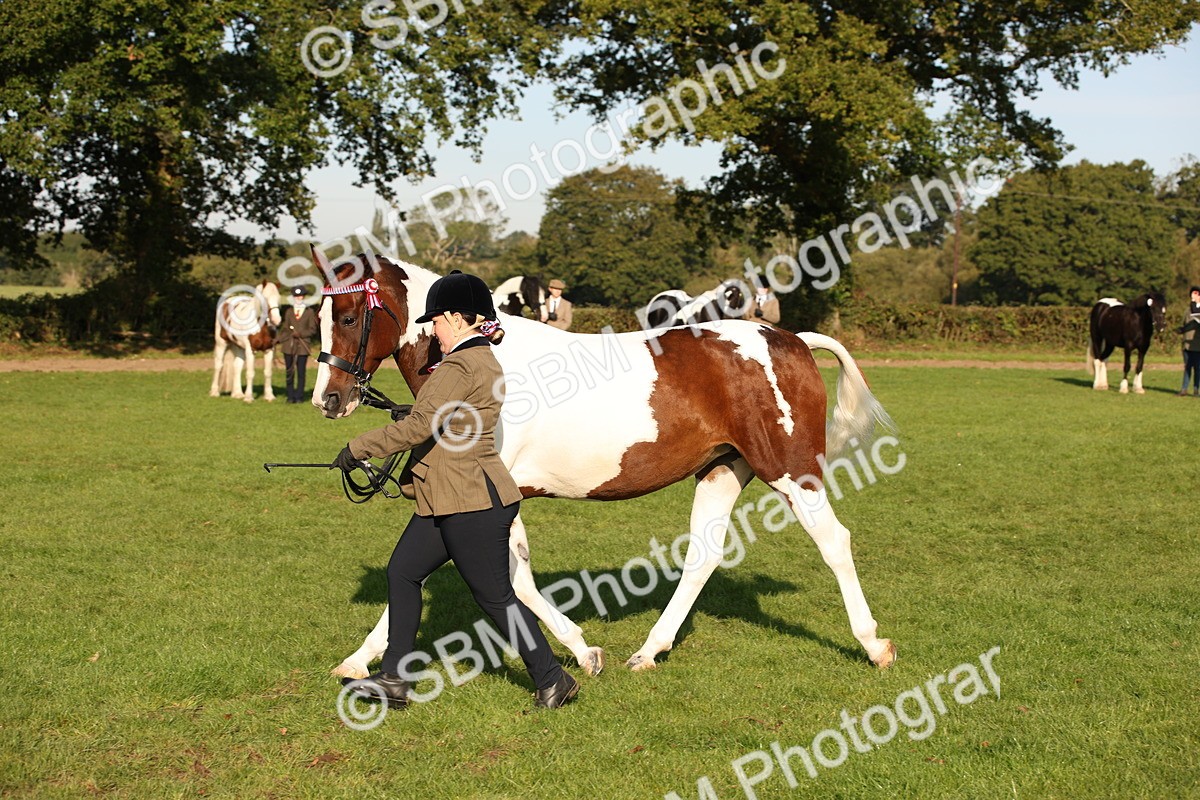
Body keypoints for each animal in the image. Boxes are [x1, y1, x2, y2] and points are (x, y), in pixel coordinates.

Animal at [311, 250, 897, 680]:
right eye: (316, 317)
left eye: (348, 317)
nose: (329, 399)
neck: (480, 360)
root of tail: (790, 338)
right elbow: (483, 574)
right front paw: (357, 661)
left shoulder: (487, 499)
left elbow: (508, 578)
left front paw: (582, 650)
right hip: (723, 471)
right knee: (703, 558)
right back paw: (650, 651)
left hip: (791, 472)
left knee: (834, 541)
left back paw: (873, 645)